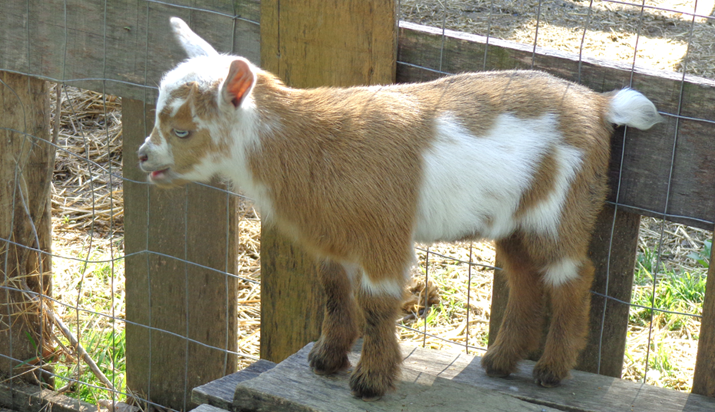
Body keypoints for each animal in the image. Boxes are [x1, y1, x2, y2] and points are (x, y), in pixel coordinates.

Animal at [137, 17, 664, 400]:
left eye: (182, 129)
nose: (143, 157)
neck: (305, 140)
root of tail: (599, 104)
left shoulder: (382, 230)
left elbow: (377, 303)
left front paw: (371, 381)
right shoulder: (334, 237)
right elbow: (334, 291)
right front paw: (326, 359)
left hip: (561, 206)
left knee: (572, 276)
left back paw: (552, 370)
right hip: (516, 220)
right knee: (526, 279)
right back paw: (499, 362)